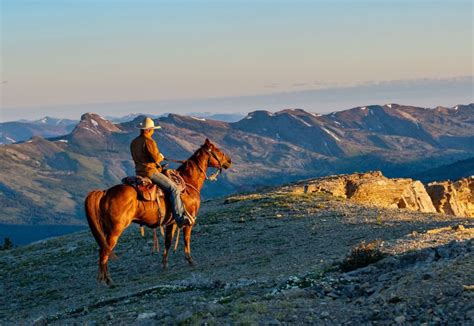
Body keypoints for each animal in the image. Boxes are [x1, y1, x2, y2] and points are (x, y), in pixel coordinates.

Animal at [86, 139, 233, 284]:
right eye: (217, 150)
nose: (229, 161)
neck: (188, 183)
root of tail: (105, 192)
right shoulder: (189, 219)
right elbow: (186, 239)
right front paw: (190, 260)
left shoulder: (171, 222)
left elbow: (168, 242)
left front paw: (164, 263)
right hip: (115, 230)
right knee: (105, 251)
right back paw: (108, 280)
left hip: (106, 230)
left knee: (102, 249)